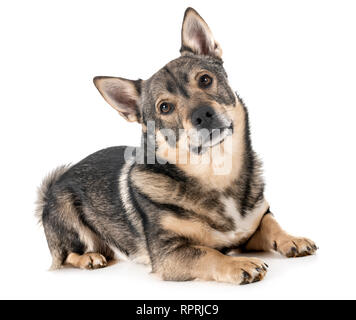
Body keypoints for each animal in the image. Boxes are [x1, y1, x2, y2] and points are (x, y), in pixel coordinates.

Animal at [36, 7, 318, 284]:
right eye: (165, 107)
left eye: (205, 80)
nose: (203, 114)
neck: (215, 170)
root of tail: (54, 185)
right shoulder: (168, 253)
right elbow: (208, 253)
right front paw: (238, 264)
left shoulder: (253, 224)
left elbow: (271, 224)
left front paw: (292, 239)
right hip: (67, 213)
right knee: (67, 254)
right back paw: (90, 258)